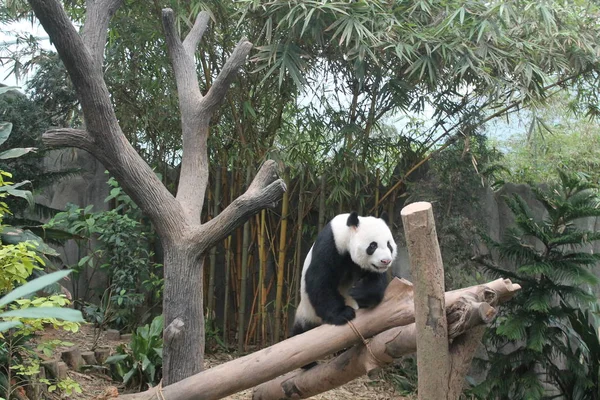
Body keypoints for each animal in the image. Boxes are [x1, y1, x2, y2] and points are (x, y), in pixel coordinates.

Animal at [292, 211, 398, 340]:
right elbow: (320, 280)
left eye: (389, 245)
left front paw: (360, 293)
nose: (385, 261)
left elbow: (374, 280)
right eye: (373, 245)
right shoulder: (330, 244)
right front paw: (342, 314)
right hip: (307, 315)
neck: (346, 233)